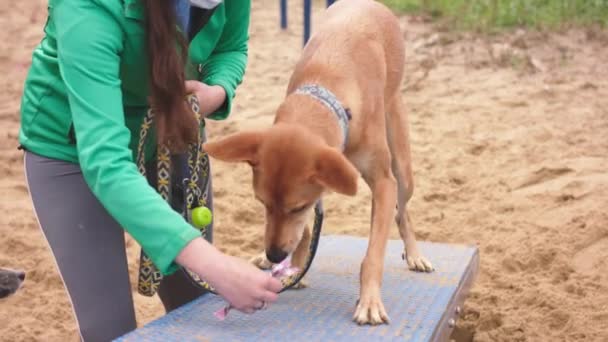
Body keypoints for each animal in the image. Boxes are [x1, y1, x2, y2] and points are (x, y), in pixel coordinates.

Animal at [204, 0, 432, 324]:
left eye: (297, 207)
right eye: (261, 203)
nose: (274, 254)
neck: (327, 87)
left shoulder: (383, 183)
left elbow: (373, 254)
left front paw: (370, 300)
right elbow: (304, 231)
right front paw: (295, 262)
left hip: (402, 164)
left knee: (402, 212)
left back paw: (414, 254)